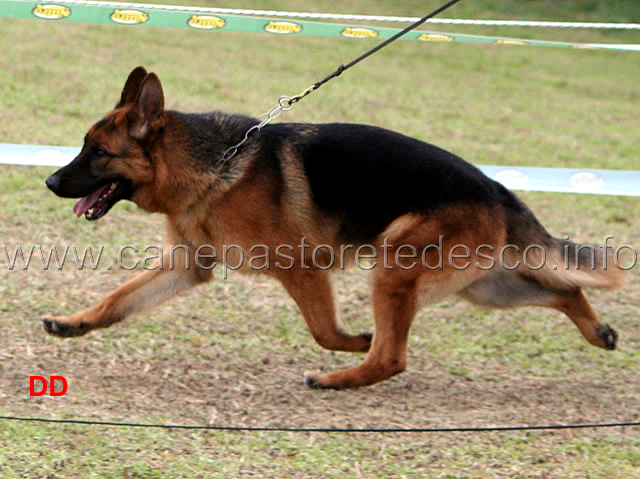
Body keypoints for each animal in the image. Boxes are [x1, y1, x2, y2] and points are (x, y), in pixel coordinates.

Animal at [43, 67, 624, 390]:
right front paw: (74, 323)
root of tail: (495, 187)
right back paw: (598, 332)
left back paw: (339, 378)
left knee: (391, 356)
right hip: (483, 285)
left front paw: (351, 339)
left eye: (98, 153)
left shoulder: (302, 269)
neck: (213, 165)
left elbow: (323, 330)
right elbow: (118, 299)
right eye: (84, 146)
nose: (49, 181)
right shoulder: (187, 267)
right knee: (565, 289)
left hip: (396, 270)